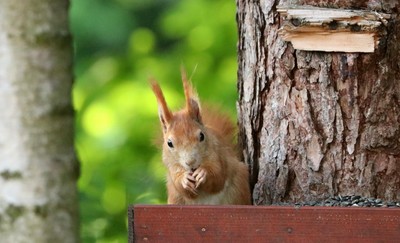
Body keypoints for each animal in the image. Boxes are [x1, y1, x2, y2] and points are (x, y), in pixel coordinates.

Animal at [150, 71, 250, 204]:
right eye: (169, 143)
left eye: (202, 136)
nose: (190, 162)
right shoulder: (171, 166)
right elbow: (179, 184)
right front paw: (184, 179)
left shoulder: (218, 155)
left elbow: (218, 177)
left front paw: (203, 173)